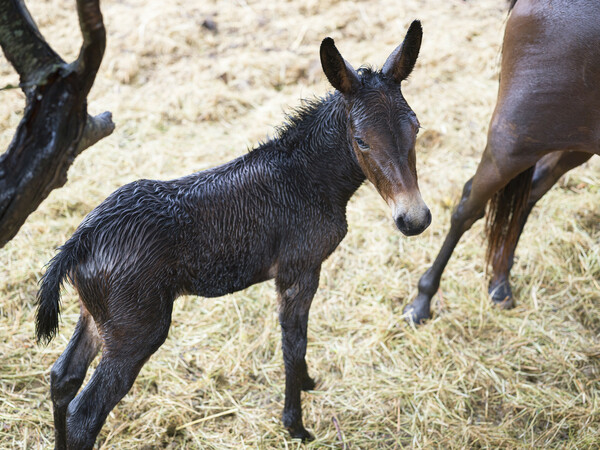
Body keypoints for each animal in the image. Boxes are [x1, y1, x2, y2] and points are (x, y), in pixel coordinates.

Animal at [406, 0, 596, 324]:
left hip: (574, 139)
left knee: (529, 192)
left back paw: (500, 280)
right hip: (516, 140)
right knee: (469, 207)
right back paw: (423, 300)